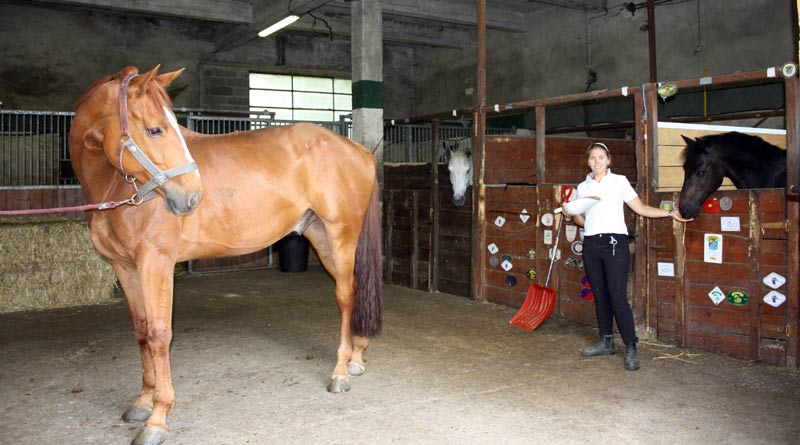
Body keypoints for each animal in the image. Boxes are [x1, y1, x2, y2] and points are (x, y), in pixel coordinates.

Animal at [68, 66, 382, 444]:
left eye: (167, 126)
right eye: (155, 129)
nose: (191, 196)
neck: (117, 188)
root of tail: (358, 150)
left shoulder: (155, 263)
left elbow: (160, 335)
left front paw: (157, 418)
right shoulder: (124, 266)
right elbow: (142, 331)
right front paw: (142, 401)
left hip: (341, 235)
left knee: (345, 296)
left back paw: (340, 373)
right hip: (319, 236)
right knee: (354, 288)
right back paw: (357, 357)